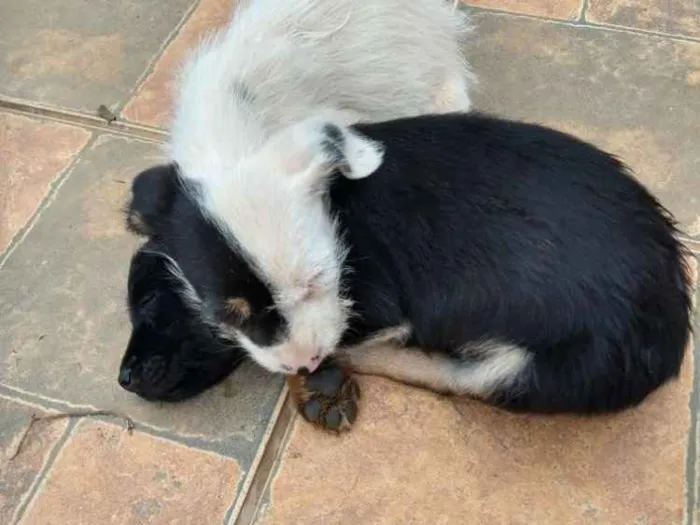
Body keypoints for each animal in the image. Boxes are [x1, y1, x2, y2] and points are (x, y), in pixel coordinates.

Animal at [120, 111, 688, 430]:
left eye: (151, 306)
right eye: (229, 314)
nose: (125, 379)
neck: (337, 214)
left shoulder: (378, 304)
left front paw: (320, 380)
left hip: (542, 365)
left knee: (458, 377)